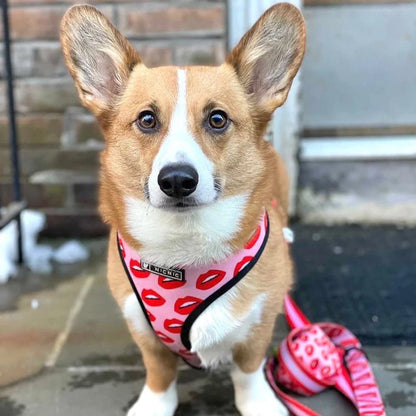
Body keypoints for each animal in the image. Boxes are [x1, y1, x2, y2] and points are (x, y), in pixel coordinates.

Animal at [59, 4, 306, 416]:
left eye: (217, 119)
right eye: (146, 119)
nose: (176, 180)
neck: (183, 248)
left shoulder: (256, 328)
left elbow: (249, 371)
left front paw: (259, 404)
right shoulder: (142, 329)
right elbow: (159, 373)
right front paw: (154, 405)